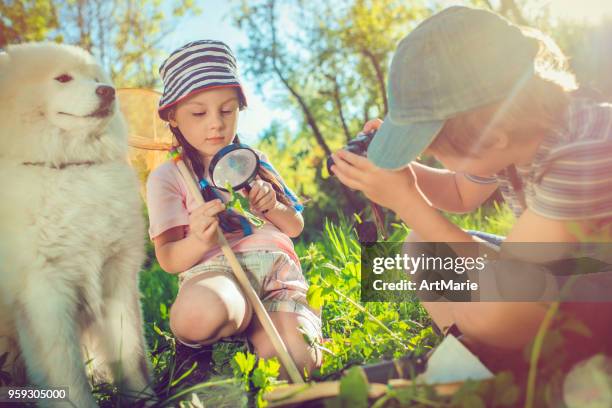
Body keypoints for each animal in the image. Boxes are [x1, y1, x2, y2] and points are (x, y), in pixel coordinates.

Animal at [0, 43, 153, 406]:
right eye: (63, 78)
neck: (70, 167)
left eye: (96, 79)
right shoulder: (44, 293)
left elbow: (131, 353)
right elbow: (67, 375)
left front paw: (147, 398)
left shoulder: (117, 276)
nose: (108, 91)